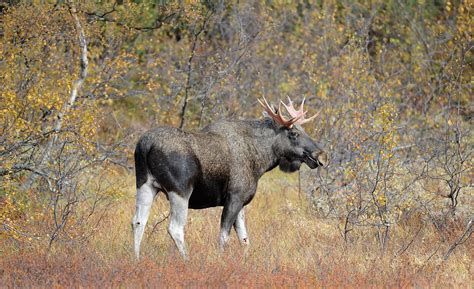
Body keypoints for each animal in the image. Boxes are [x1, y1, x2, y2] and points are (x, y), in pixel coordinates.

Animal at [131, 98, 328, 258]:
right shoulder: (235, 196)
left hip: (145, 184)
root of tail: (145, 145)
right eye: (294, 133)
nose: (321, 155)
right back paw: (186, 259)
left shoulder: (241, 201)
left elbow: (245, 239)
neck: (261, 159)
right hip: (180, 191)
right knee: (175, 228)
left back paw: (137, 259)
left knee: (138, 221)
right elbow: (224, 236)